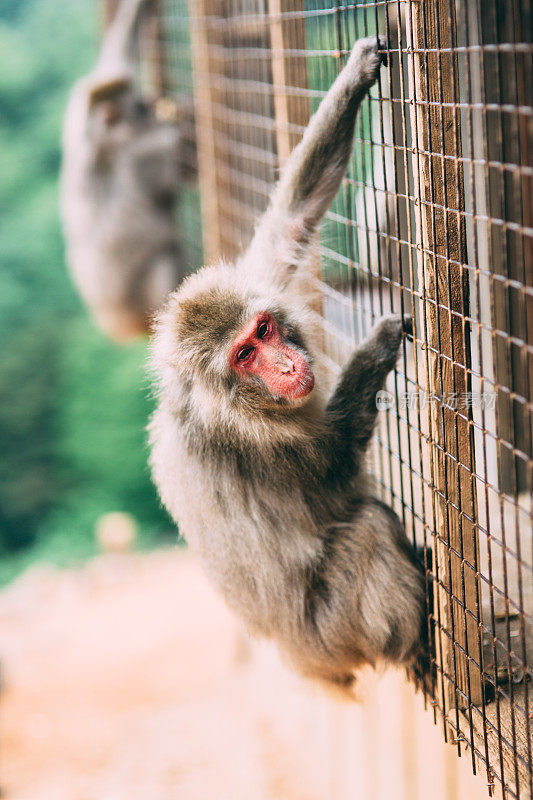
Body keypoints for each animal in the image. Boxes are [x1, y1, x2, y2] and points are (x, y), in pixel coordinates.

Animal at [59, 0, 185, 340]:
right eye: (139, 108)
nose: (150, 102)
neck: (101, 146)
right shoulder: (144, 158)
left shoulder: (76, 131)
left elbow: (112, 65)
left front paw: (137, 11)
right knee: (164, 261)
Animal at [149, 34, 424, 696]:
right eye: (245, 356)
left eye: (264, 330)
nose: (284, 361)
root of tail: (307, 664)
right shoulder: (253, 446)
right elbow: (333, 464)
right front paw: (376, 345)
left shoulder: (257, 284)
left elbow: (288, 222)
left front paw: (356, 75)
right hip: (334, 631)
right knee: (366, 530)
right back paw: (413, 649)